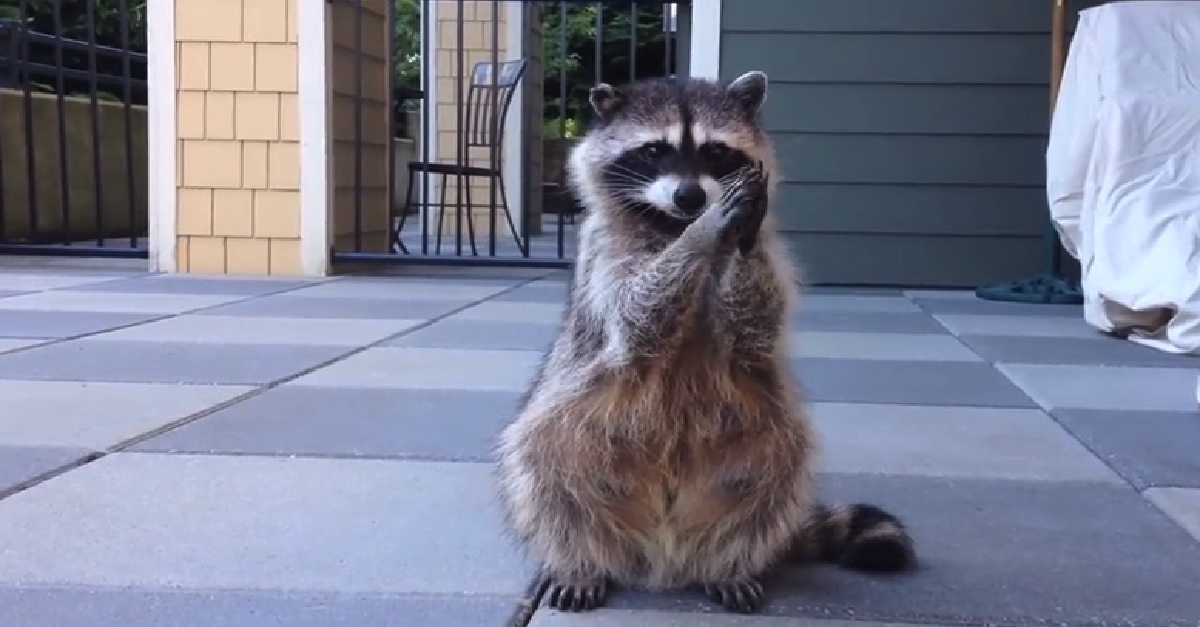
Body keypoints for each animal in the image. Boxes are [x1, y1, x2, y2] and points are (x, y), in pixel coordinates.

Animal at [492, 70, 912, 612]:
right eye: (654, 150)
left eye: (715, 151)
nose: (691, 198)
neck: (669, 222)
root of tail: (661, 551)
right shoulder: (603, 251)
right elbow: (634, 318)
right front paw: (703, 232)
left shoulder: (771, 259)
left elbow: (755, 327)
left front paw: (738, 233)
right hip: (570, 417)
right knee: (543, 470)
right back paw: (579, 560)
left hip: (757, 435)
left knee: (776, 478)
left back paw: (727, 561)